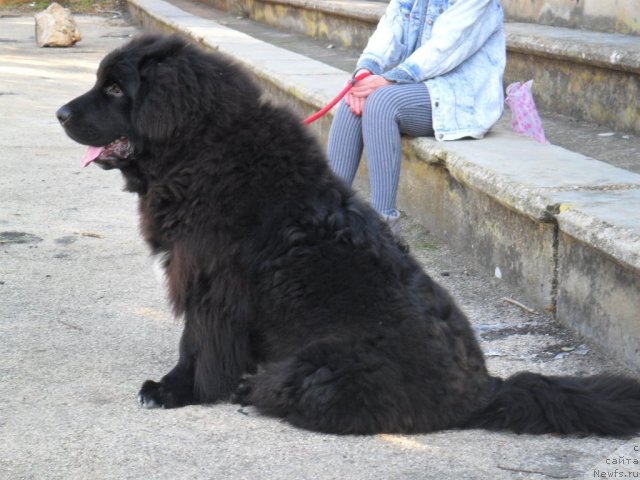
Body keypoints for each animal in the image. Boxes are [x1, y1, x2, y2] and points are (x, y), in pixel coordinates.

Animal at [56, 35, 640, 436]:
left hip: (323, 366)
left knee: (298, 395)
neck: (203, 151)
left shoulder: (211, 283)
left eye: (115, 88)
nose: (59, 112)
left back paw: (250, 387)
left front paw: (178, 391)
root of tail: (484, 391)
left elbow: (197, 345)